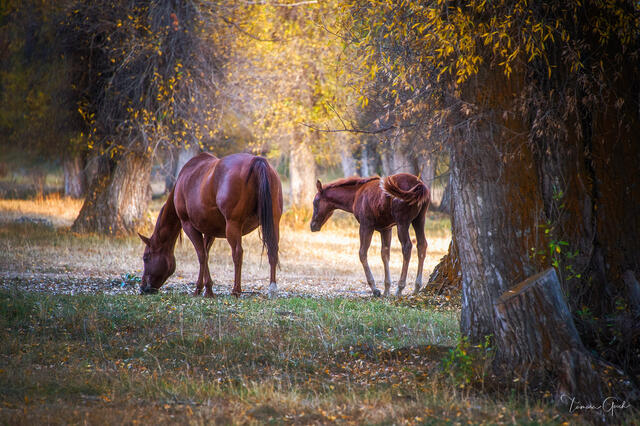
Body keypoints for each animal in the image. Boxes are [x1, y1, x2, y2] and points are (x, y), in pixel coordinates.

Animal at [138, 152, 283, 297]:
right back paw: (272, 288)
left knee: (237, 253)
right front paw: (208, 289)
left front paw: (199, 288)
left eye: (146, 257)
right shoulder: (210, 231)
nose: (143, 287)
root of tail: (257, 160)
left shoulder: (188, 225)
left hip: (233, 225)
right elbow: (206, 253)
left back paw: (236, 290)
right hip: (274, 222)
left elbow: (201, 255)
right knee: (273, 251)